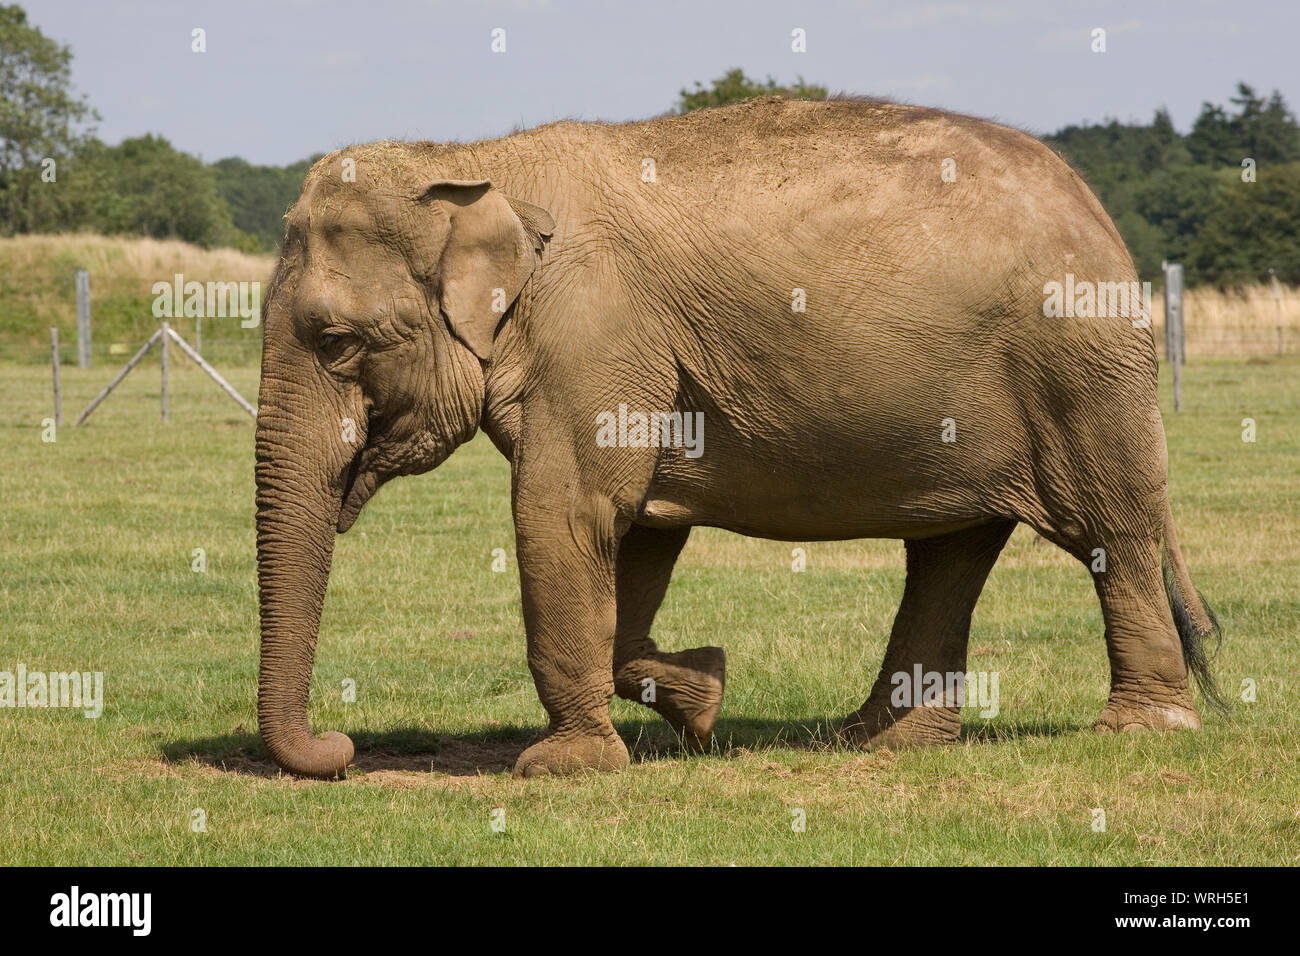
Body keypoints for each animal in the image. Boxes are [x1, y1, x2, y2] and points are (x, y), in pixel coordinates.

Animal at [253, 95, 1216, 780]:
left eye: (335, 342)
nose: (341, 750)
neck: (469, 164)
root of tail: (1099, 210)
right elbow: (634, 532)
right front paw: (706, 697)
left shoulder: (593, 330)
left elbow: (566, 511)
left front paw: (563, 768)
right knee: (950, 551)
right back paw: (881, 740)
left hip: (1081, 369)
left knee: (1111, 533)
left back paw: (1141, 729)